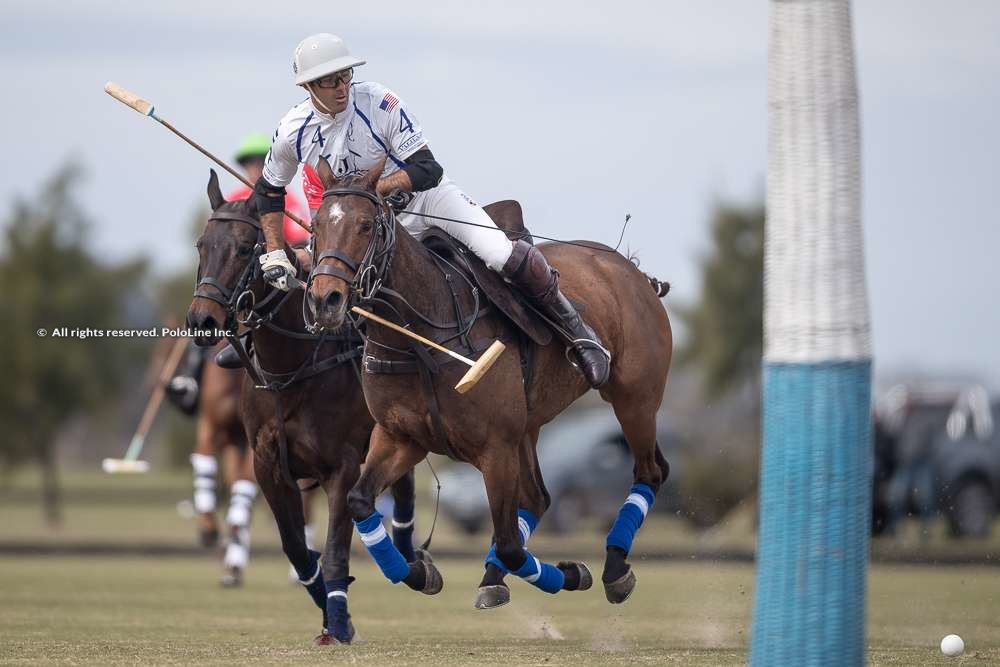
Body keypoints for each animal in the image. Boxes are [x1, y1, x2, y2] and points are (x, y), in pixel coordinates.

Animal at [188, 171, 426, 640]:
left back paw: (414, 566)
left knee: (403, 498)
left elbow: (334, 547)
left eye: (244, 248)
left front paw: (338, 619)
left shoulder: (342, 465)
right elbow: (297, 549)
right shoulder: (266, 463)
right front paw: (328, 607)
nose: (202, 321)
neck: (290, 368)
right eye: (202, 245)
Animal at [308, 159, 676, 608]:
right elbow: (360, 501)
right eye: (315, 224)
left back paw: (615, 567)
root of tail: (629, 267)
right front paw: (420, 572)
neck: (419, 337)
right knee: (539, 497)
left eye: (364, 225)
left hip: (634, 397)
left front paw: (573, 573)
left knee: (650, 471)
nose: (325, 300)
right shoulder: (401, 436)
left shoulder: (494, 446)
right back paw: (494, 576)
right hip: (529, 425)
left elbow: (510, 544)